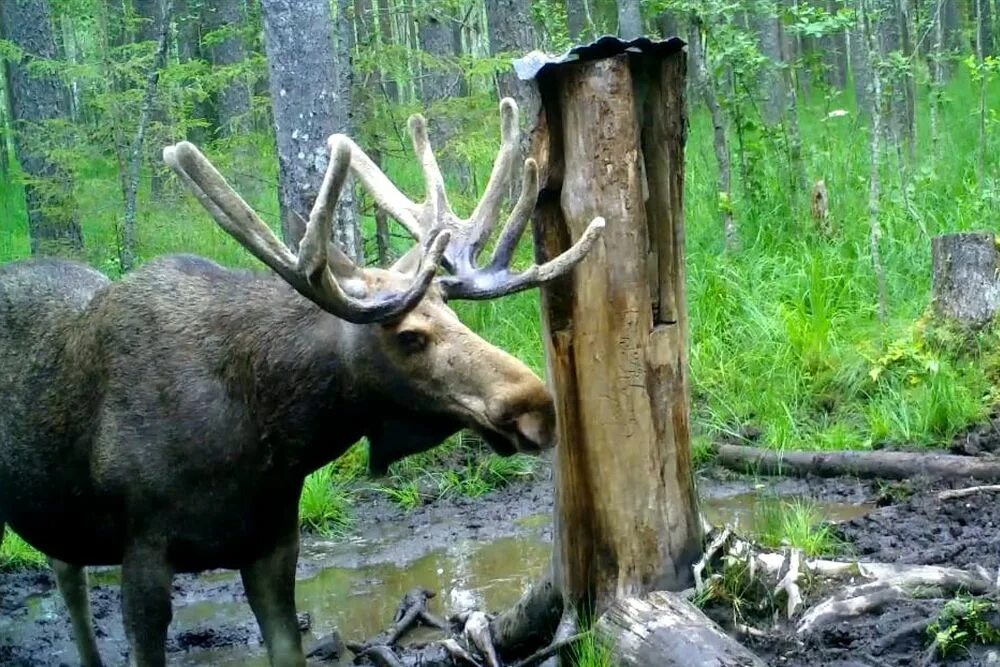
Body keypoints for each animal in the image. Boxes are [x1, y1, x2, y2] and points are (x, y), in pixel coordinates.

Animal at [0, 100, 600, 667]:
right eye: (409, 336)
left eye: (451, 313)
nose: (537, 406)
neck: (268, 439)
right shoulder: (143, 548)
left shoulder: (274, 542)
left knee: (65, 569)